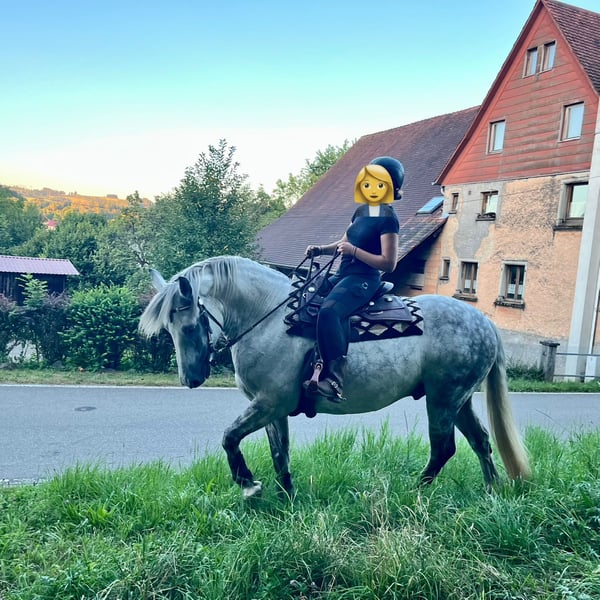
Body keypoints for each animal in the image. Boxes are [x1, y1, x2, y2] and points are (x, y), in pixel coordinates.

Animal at [139, 255, 530, 499]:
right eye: (169, 328)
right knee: (480, 441)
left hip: (443, 400)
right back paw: (490, 493)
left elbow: (229, 437)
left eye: (190, 325)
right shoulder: (272, 410)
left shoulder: (267, 404)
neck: (270, 319)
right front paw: (287, 498)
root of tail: (485, 324)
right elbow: (280, 454)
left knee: (444, 449)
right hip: (457, 400)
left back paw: (413, 492)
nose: (191, 379)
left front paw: (249, 485)